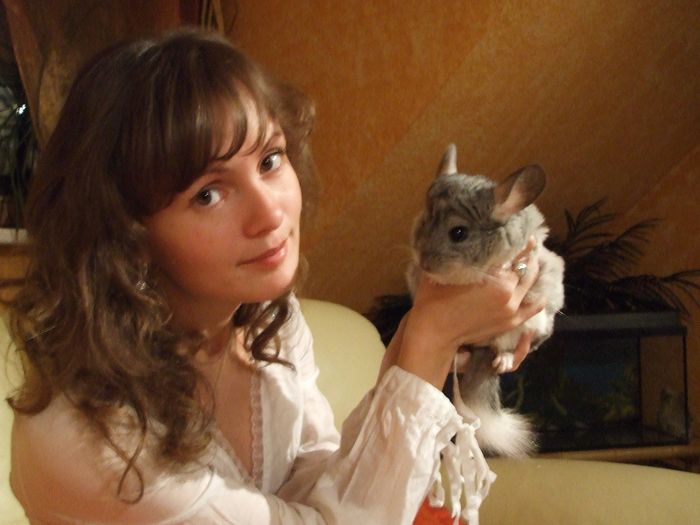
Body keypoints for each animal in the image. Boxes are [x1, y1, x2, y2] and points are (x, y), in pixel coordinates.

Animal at [406, 143, 565, 457]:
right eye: (424, 220)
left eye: (458, 232)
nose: (425, 264)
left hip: (535, 325)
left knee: (509, 347)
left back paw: (503, 359)